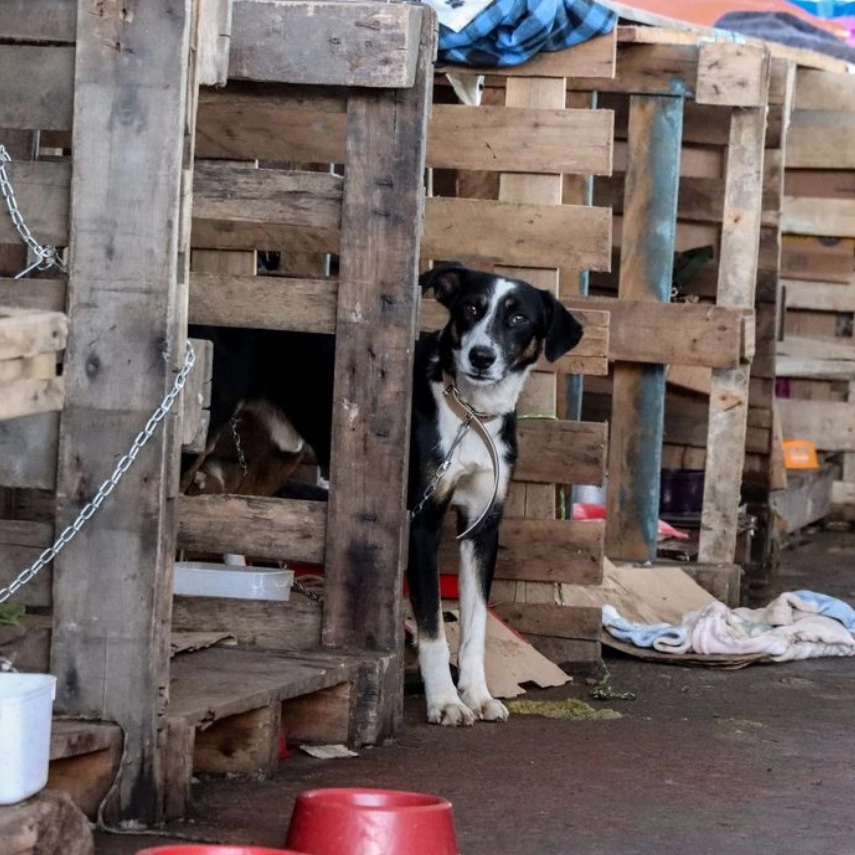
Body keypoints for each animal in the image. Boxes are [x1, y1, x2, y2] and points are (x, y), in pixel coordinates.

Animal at [191, 262, 584, 728]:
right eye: (471, 308)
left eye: (519, 317)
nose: (481, 356)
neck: (470, 415)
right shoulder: (421, 523)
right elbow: (433, 628)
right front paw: (445, 701)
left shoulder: (482, 527)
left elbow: (475, 627)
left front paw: (477, 694)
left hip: (280, 454)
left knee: (234, 506)